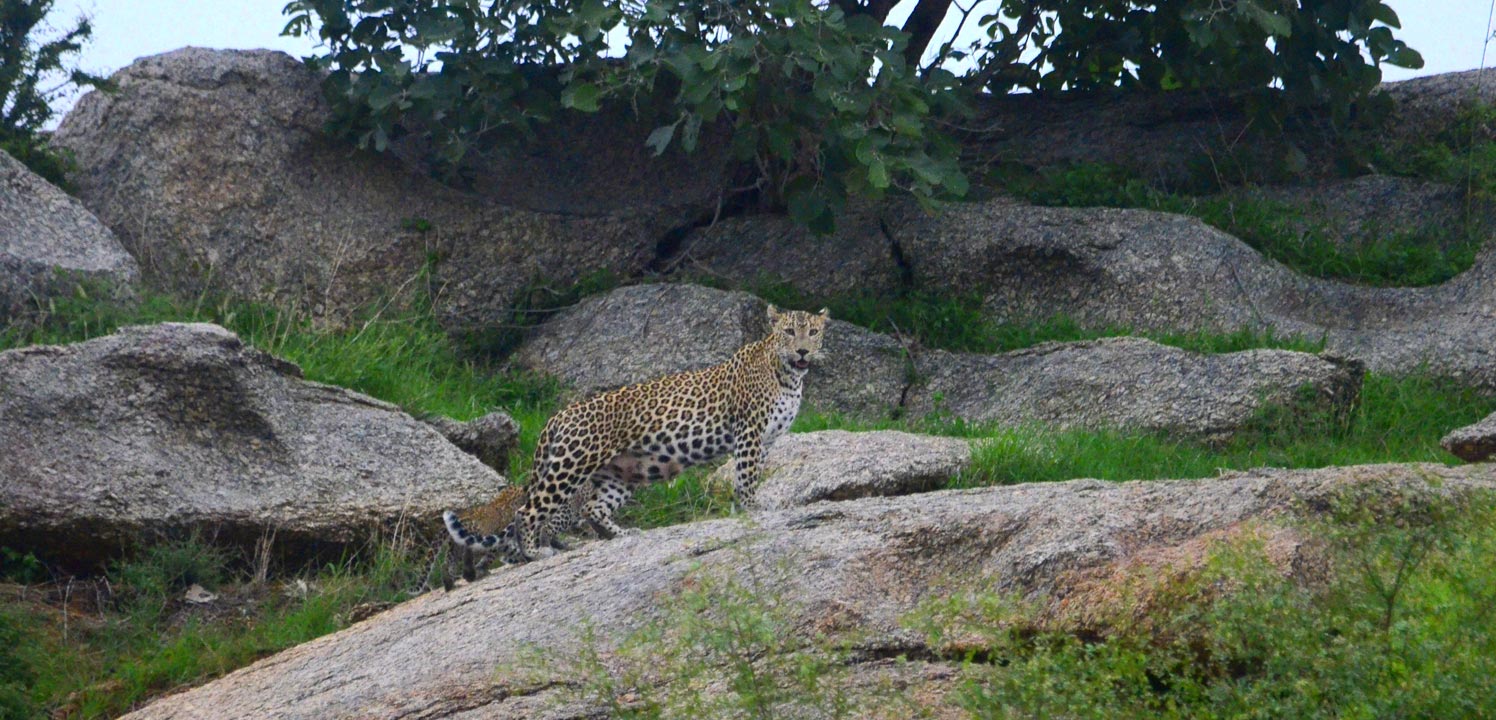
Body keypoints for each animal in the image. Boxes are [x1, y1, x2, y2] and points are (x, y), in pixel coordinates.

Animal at [442, 302, 831, 562]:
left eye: (812, 332)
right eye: (789, 331)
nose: (802, 350)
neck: (789, 375)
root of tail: (558, 416)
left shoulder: (765, 440)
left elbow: (748, 475)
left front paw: (742, 510)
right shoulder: (749, 431)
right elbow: (747, 476)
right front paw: (752, 508)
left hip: (621, 473)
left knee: (592, 509)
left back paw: (623, 535)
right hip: (571, 465)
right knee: (530, 511)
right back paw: (536, 553)